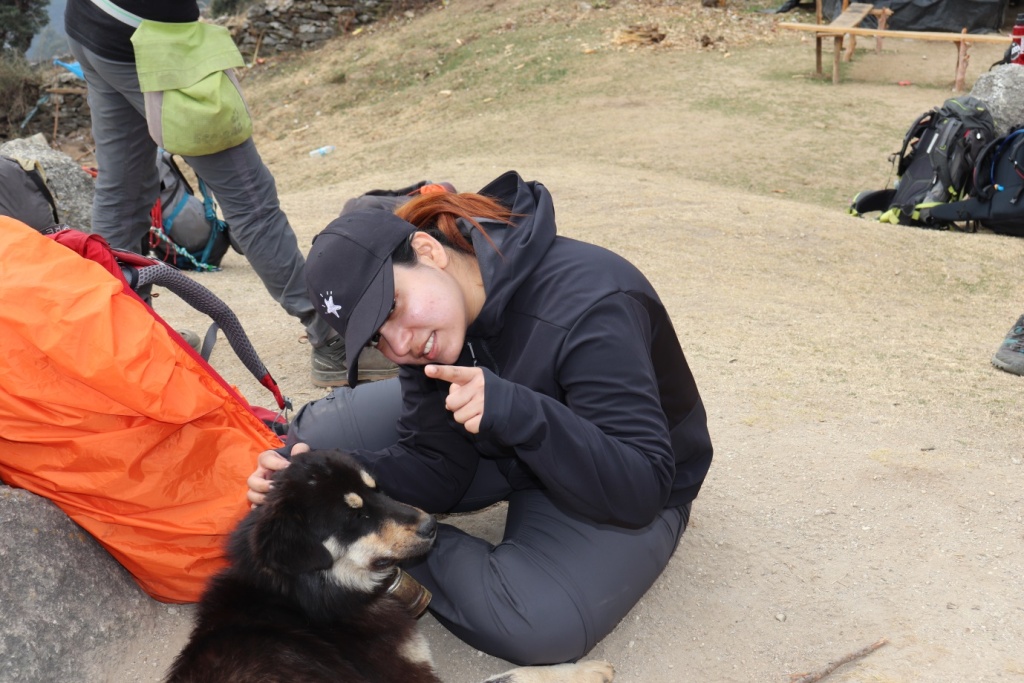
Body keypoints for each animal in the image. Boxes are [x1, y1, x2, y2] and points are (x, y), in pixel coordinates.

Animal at [167, 448, 614, 683]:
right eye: (356, 516)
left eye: (376, 489)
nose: (432, 525)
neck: (306, 597)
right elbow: (514, 676)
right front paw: (588, 670)